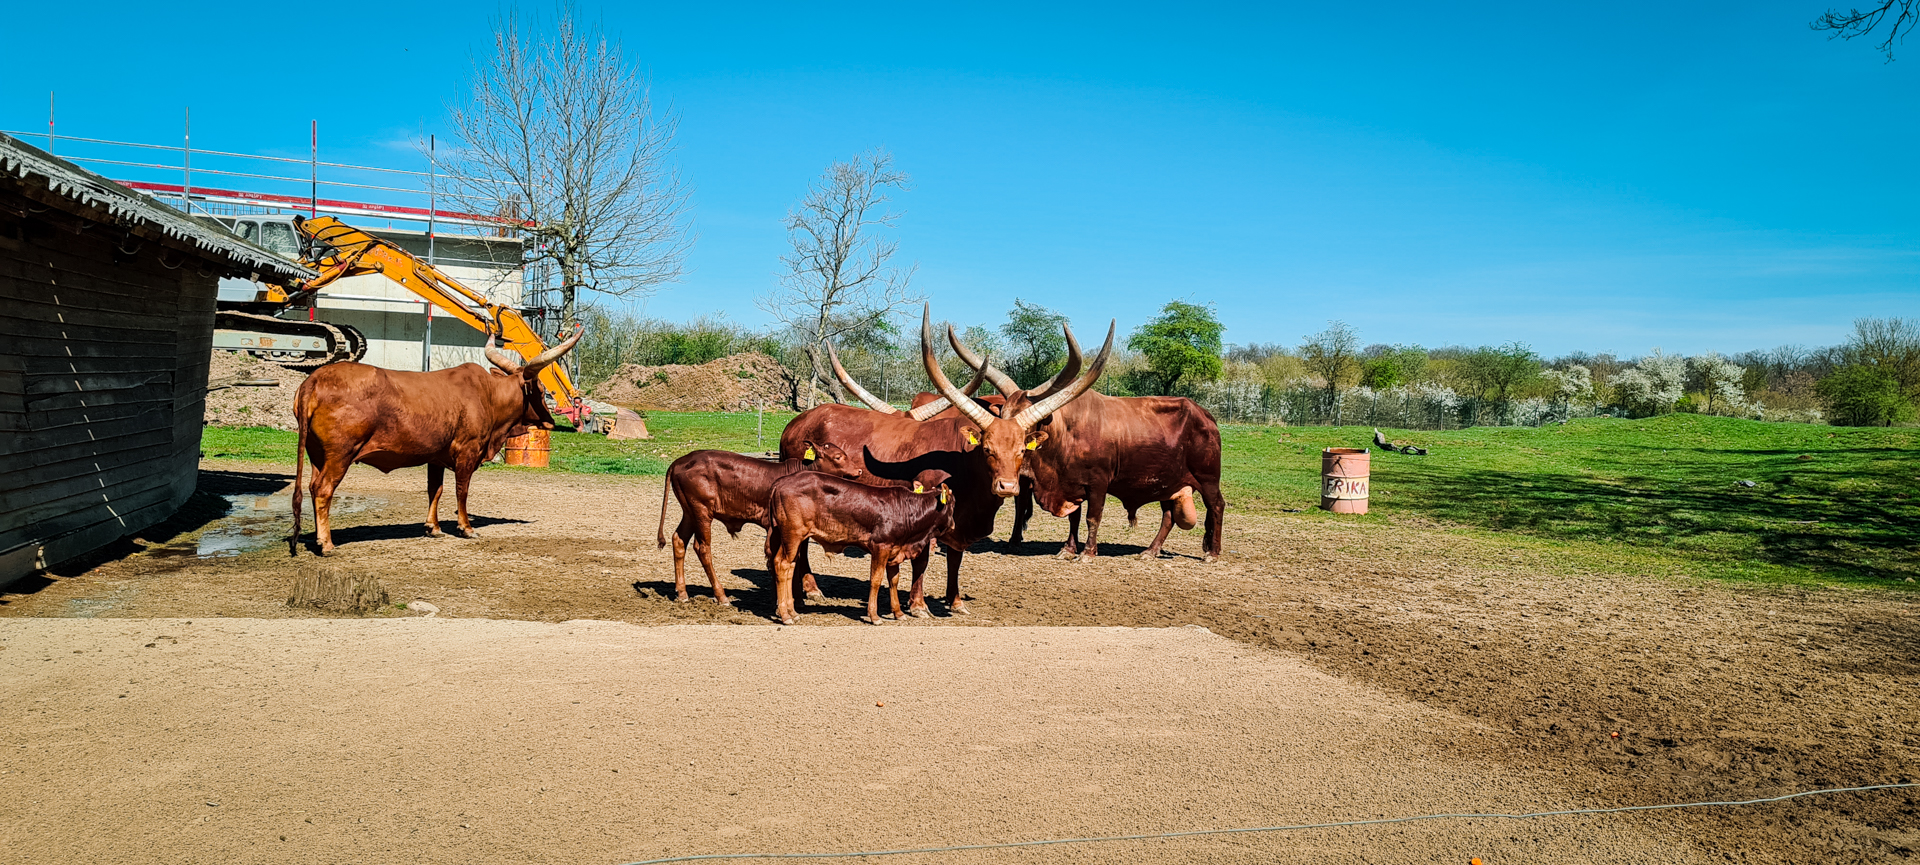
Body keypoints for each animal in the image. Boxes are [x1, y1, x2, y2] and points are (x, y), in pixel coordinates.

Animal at [288, 328, 582, 556]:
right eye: (542, 390)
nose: (551, 421)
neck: (488, 396)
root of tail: (315, 379)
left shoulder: (436, 456)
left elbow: (435, 490)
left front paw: (434, 527)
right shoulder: (467, 452)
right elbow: (461, 491)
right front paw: (466, 528)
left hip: (317, 456)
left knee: (313, 488)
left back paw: (318, 538)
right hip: (340, 454)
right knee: (324, 490)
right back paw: (327, 544)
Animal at [655, 443, 860, 606]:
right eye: (838, 456)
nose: (858, 471)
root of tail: (679, 462)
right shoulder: (775, 527)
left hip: (689, 512)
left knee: (679, 540)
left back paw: (682, 593)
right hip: (701, 511)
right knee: (702, 548)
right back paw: (721, 596)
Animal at [765, 470, 956, 624]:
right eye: (953, 504)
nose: (954, 525)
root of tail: (781, 482)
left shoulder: (895, 550)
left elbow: (894, 580)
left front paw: (898, 613)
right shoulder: (881, 547)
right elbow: (876, 580)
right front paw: (874, 616)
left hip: (788, 537)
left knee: (788, 566)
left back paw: (791, 612)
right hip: (793, 534)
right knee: (782, 565)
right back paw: (786, 615)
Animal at [780, 305, 1115, 616]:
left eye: (1022, 449)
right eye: (988, 449)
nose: (1007, 487)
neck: (965, 467)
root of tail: (797, 422)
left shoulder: (960, 523)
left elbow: (956, 558)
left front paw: (955, 601)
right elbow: (923, 561)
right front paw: (917, 605)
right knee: (801, 546)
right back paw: (810, 589)